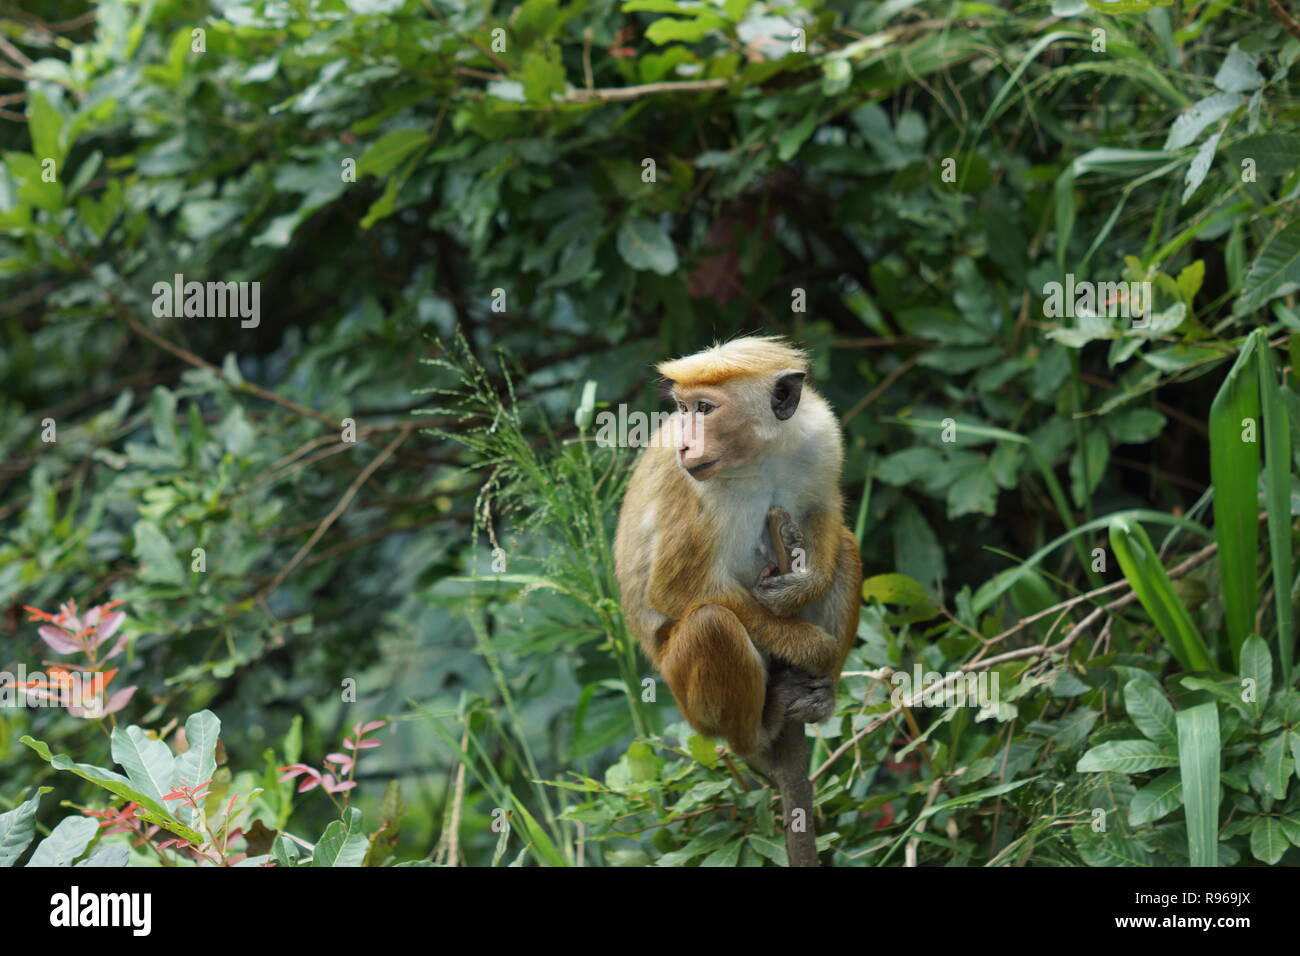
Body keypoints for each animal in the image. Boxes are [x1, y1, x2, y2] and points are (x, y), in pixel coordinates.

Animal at [613, 336, 862, 864]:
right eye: (683, 409)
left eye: (705, 409)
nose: (685, 443)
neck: (758, 455)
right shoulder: (694, 487)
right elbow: (676, 590)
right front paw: (812, 646)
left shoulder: (821, 434)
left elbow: (824, 510)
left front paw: (805, 588)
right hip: (684, 692)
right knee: (711, 624)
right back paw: (759, 736)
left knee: (847, 548)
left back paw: (822, 696)